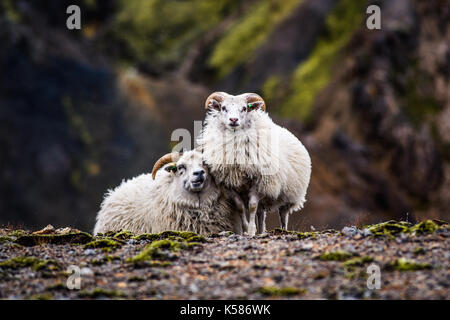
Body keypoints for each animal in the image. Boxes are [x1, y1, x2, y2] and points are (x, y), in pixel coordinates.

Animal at [199, 91, 312, 236]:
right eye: (223, 108)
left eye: (244, 108)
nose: (233, 120)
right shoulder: (230, 185)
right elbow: (241, 207)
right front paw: (245, 229)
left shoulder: (259, 182)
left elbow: (252, 206)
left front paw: (251, 231)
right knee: (261, 214)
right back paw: (261, 231)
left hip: (289, 195)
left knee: (283, 214)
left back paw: (283, 230)